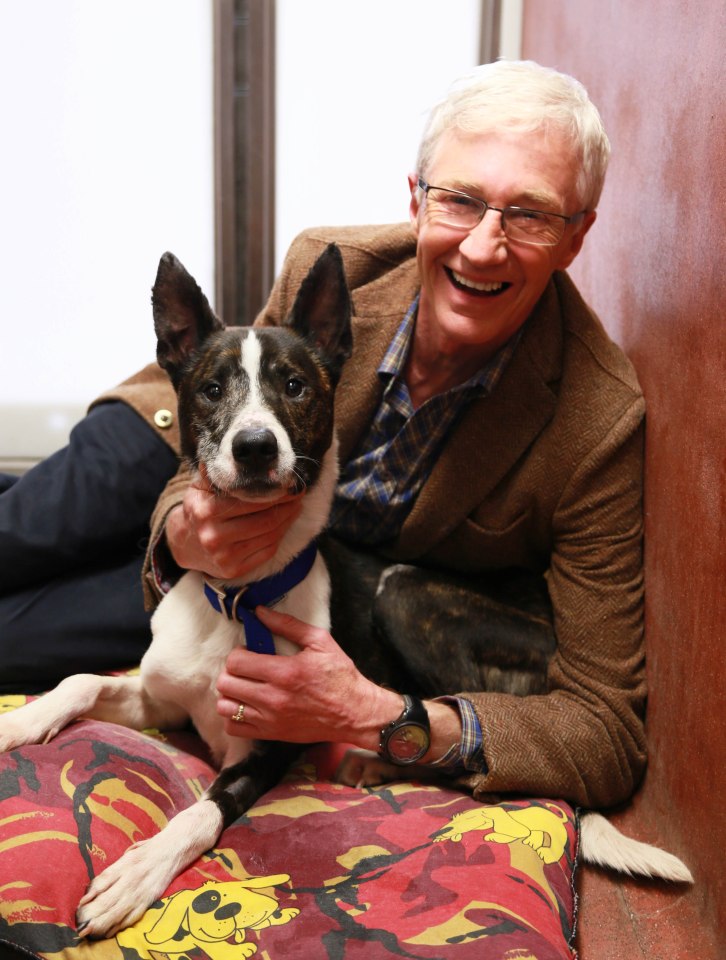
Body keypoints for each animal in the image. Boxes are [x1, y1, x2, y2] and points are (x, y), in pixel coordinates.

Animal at [0, 246, 354, 936]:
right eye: (212, 389)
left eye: (294, 385)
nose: (254, 447)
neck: (237, 598)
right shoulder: (161, 703)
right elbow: (81, 681)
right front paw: (18, 721)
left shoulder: (265, 752)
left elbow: (200, 813)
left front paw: (137, 872)